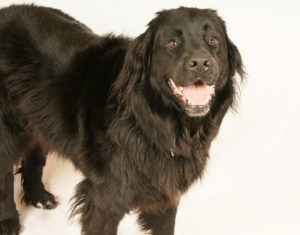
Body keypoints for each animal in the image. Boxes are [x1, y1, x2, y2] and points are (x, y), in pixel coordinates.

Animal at [0, 4, 244, 235]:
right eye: (172, 43)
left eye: (213, 40)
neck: (151, 122)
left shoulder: (165, 195)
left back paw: (39, 196)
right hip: (8, 132)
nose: (201, 62)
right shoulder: (104, 199)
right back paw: (9, 222)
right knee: (5, 175)